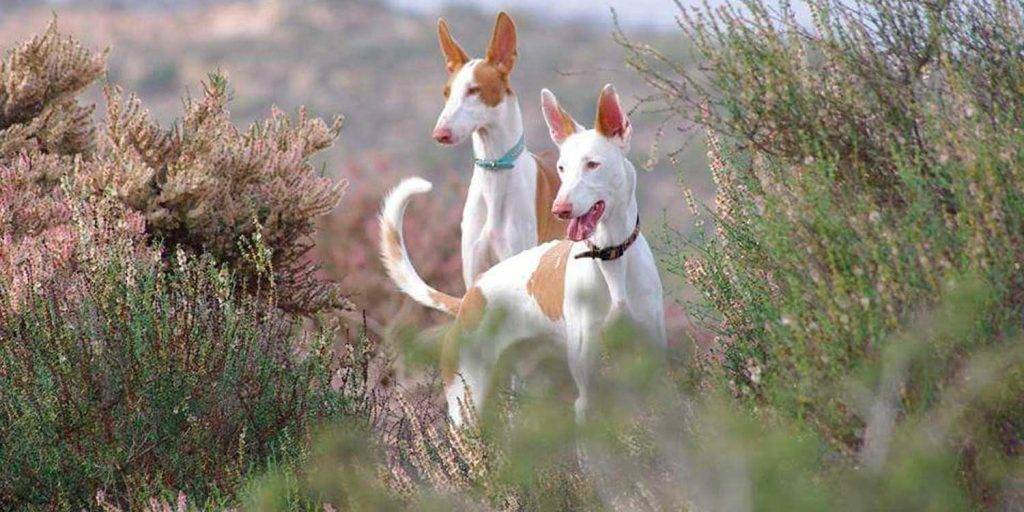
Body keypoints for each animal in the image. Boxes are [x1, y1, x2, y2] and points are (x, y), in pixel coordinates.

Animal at [380, 86, 667, 425]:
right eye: (561, 168)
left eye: (593, 165)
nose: (560, 209)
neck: (612, 259)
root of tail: (470, 297)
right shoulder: (588, 393)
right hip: (468, 403)